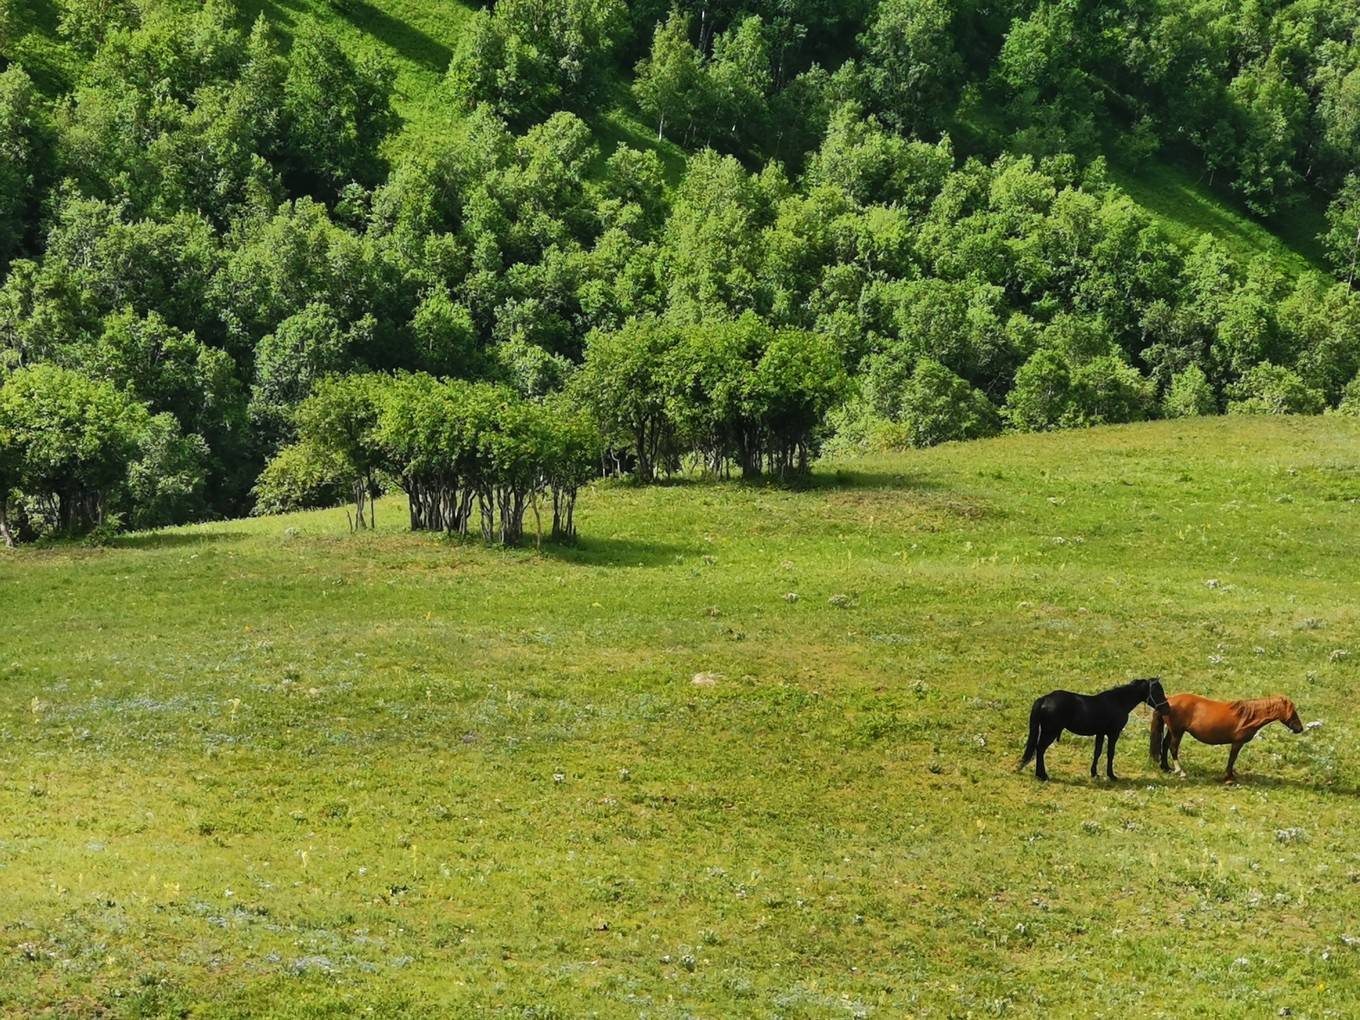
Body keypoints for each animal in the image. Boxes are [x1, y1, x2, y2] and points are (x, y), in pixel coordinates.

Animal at [1022, 680, 1169, 783]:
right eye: (1157, 692)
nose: (1167, 708)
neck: (1118, 702)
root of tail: (1045, 699)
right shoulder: (1113, 733)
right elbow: (1110, 753)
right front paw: (1111, 775)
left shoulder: (1100, 733)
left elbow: (1097, 752)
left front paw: (1094, 773)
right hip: (1049, 733)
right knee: (1040, 749)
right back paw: (1042, 775)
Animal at [1153, 696, 1300, 783]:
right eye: (1293, 712)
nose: (1300, 728)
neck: (1248, 717)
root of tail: (1169, 699)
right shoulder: (1237, 743)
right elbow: (1232, 758)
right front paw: (1229, 777)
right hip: (1177, 731)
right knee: (1173, 748)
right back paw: (1180, 771)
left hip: (1173, 731)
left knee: (1165, 745)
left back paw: (1165, 767)